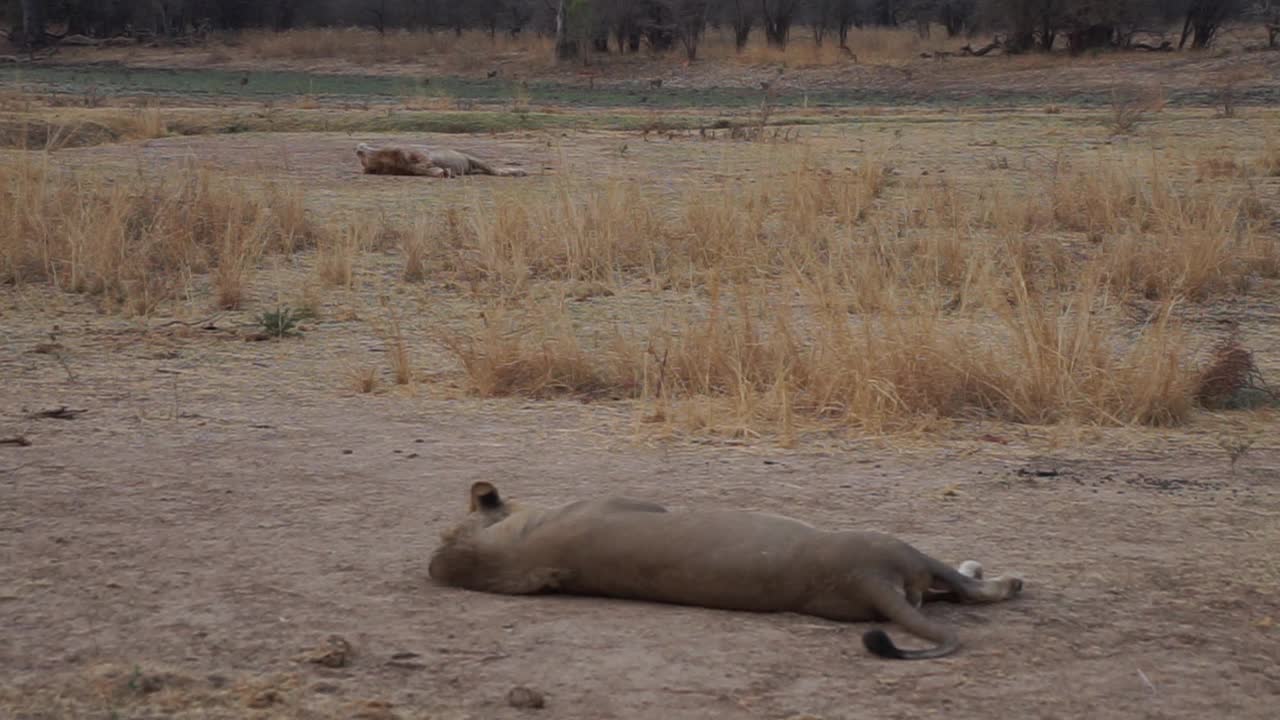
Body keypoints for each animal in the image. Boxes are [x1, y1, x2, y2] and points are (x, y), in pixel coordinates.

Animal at [424, 479, 1024, 661]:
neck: (515, 554)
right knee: (968, 589)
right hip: (894, 547)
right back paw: (1005, 579)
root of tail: (867, 582)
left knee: (947, 595)